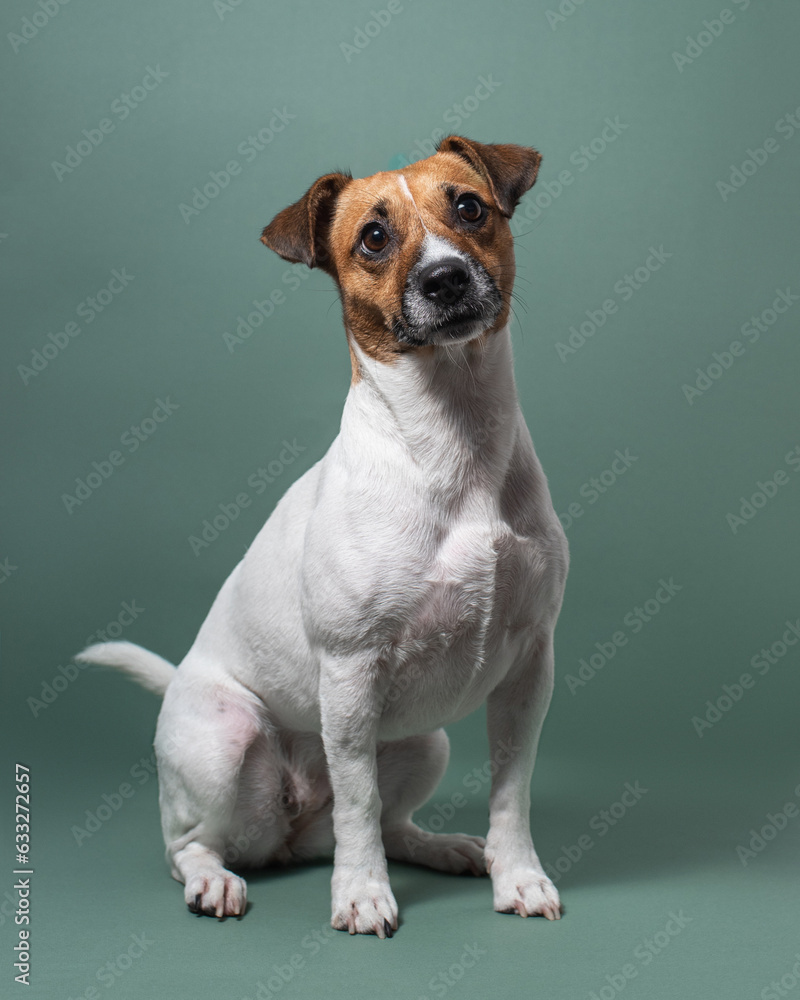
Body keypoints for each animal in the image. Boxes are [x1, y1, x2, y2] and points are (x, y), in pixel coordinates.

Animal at [79, 135, 568, 936]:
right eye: (373, 238)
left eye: (469, 208)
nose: (445, 277)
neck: (452, 441)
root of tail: (285, 832)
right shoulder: (350, 671)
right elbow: (359, 801)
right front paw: (362, 894)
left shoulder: (529, 668)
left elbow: (511, 789)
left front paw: (518, 875)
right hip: (223, 741)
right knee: (194, 844)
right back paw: (215, 881)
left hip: (425, 742)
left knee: (385, 822)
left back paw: (440, 846)